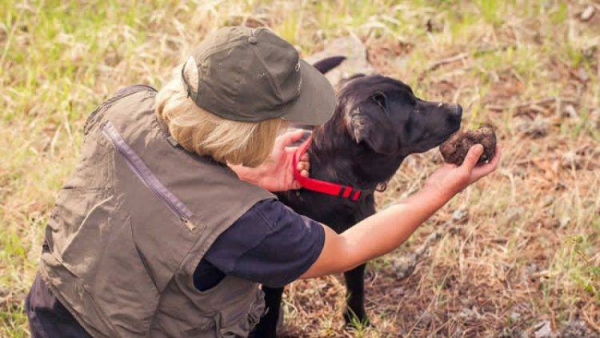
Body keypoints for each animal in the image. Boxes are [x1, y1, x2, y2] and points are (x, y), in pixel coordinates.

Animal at [251, 56, 462, 336]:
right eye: (413, 109)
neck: (334, 183)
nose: (458, 108)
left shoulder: (355, 241)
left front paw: (355, 319)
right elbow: (271, 305)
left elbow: (356, 286)